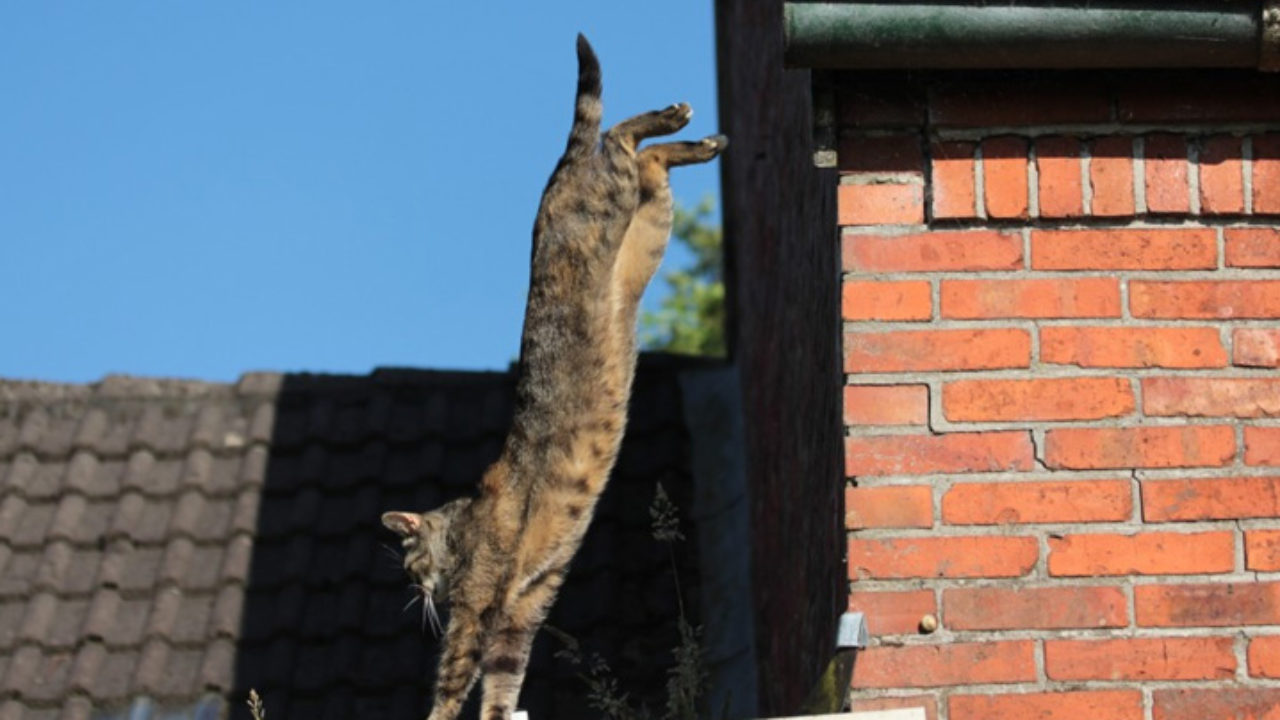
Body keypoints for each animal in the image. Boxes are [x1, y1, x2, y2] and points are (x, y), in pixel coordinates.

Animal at [378, 35, 727, 717]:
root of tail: (547, 194)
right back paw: (696, 142)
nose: (418, 592)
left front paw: (438, 712)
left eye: (408, 565)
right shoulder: (519, 613)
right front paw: (500, 711)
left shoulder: (479, 608)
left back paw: (669, 117)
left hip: (607, 200)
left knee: (617, 139)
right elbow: (503, 681)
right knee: (649, 165)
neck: (464, 526)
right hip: (646, 232)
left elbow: (454, 677)